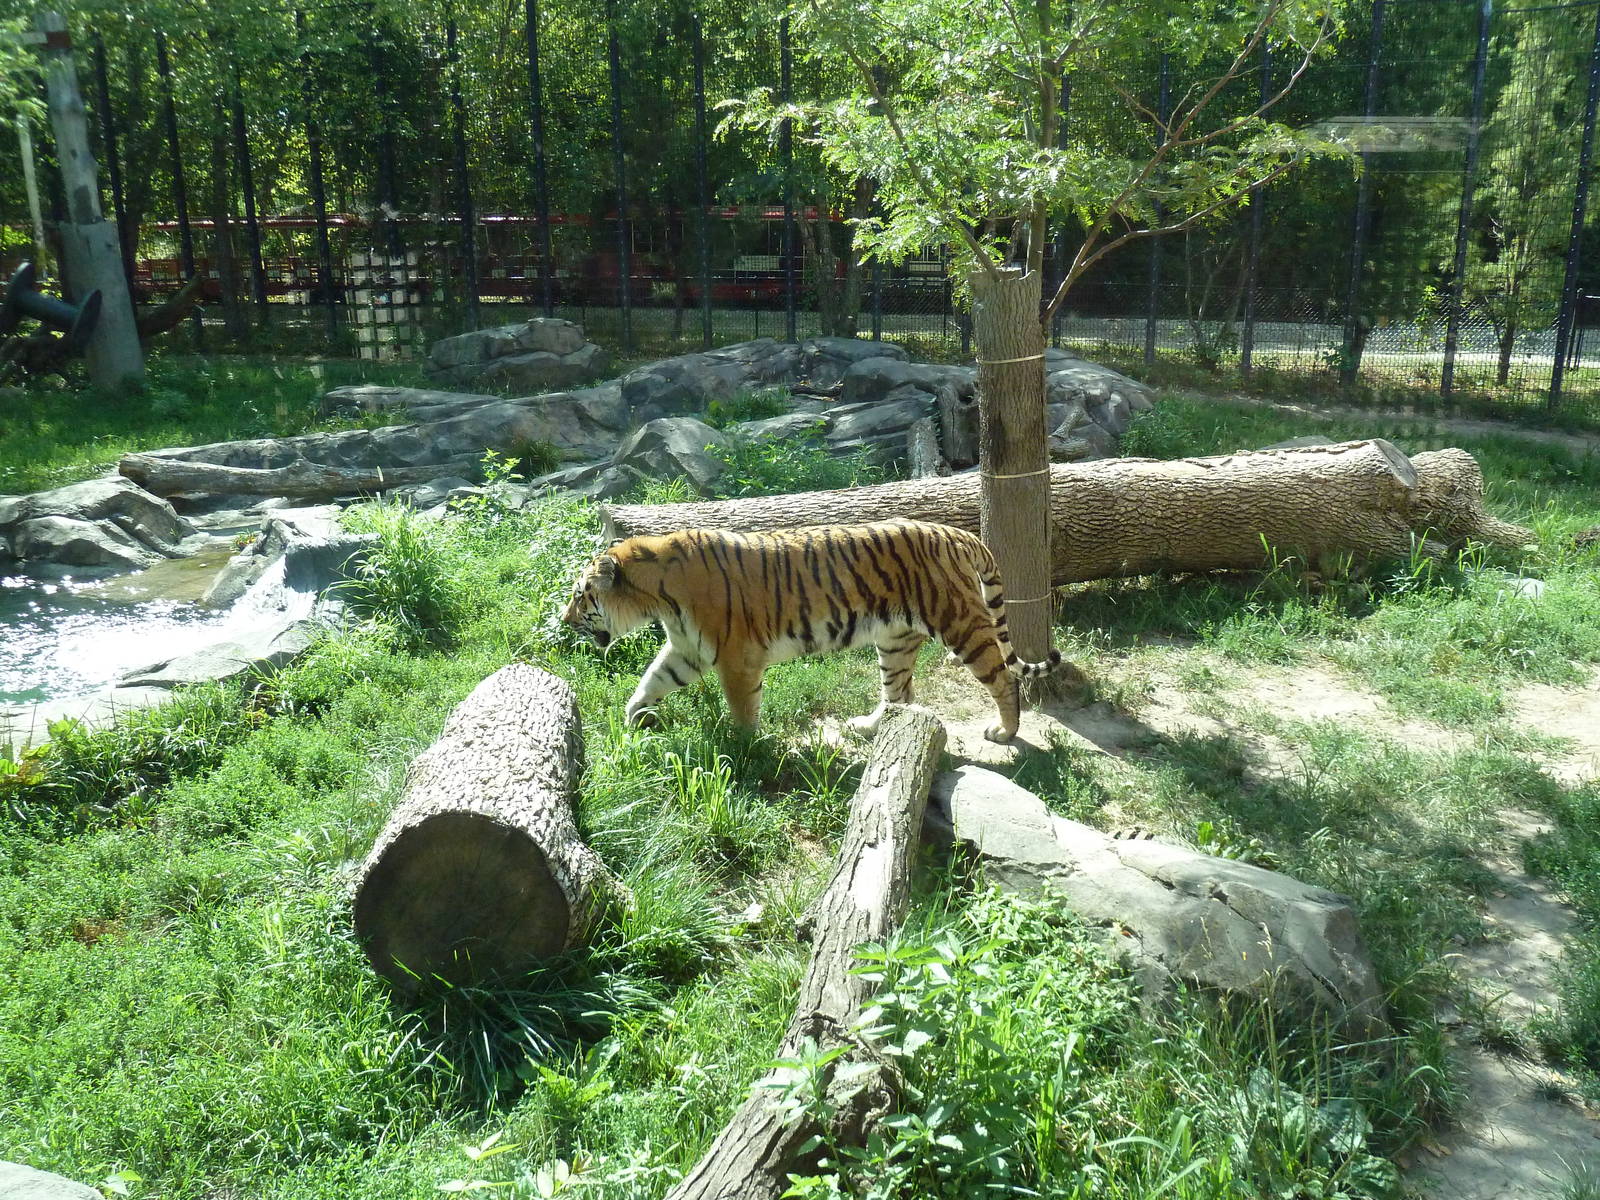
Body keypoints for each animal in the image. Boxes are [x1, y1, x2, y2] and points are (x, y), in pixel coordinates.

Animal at [560, 518, 1076, 743]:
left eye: (580, 595)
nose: (563, 622)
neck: (659, 597)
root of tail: (958, 533)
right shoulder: (685, 650)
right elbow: (651, 681)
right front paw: (633, 720)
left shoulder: (736, 658)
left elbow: (742, 708)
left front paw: (747, 749)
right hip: (894, 641)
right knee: (898, 694)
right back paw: (868, 727)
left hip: (961, 625)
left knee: (1003, 678)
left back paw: (1004, 731)